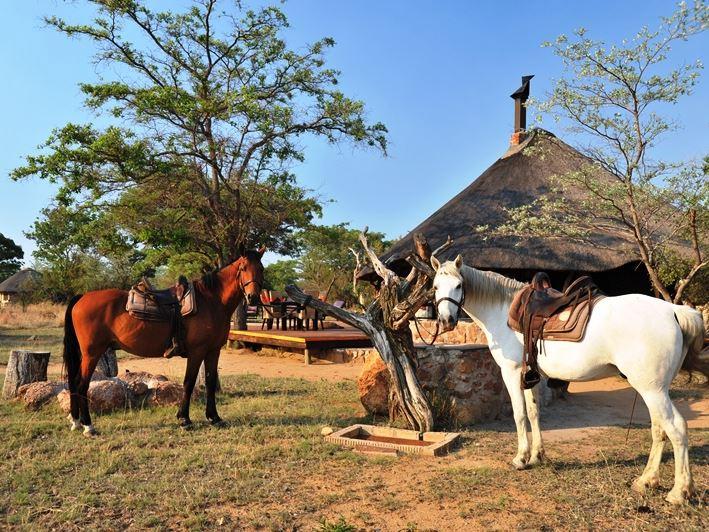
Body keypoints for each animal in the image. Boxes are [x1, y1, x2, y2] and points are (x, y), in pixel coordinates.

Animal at [61, 247, 262, 434]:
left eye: (260, 268)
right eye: (243, 268)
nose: (252, 297)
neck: (211, 301)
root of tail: (82, 297)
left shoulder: (213, 350)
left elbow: (211, 382)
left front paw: (214, 417)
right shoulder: (197, 352)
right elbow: (189, 383)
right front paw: (184, 419)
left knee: (75, 382)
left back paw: (76, 421)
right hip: (92, 353)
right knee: (82, 384)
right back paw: (88, 425)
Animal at [428, 256, 704, 504]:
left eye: (459, 285)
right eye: (435, 286)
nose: (446, 321)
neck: (504, 311)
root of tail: (674, 310)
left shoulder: (511, 372)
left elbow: (519, 414)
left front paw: (521, 458)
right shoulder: (533, 376)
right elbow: (534, 413)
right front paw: (537, 456)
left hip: (652, 390)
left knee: (676, 428)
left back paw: (679, 492)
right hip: (655, 390)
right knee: (659, 429)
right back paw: (646, 481)